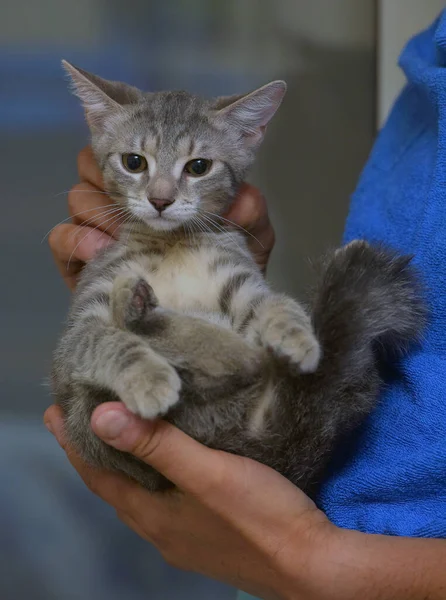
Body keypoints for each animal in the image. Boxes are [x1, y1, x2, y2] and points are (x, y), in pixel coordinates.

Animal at [50, 61, 424, 494]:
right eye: (134, 162)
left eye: (198, 167)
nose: (160, 200)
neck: (173, 244)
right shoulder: (78, 329)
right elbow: (103, 340)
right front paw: (146, 376)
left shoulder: (239, 278)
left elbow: (271, 303)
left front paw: (296, 333)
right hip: (88, 409)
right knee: (241, 360)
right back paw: (136, 310)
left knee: (247, 359)